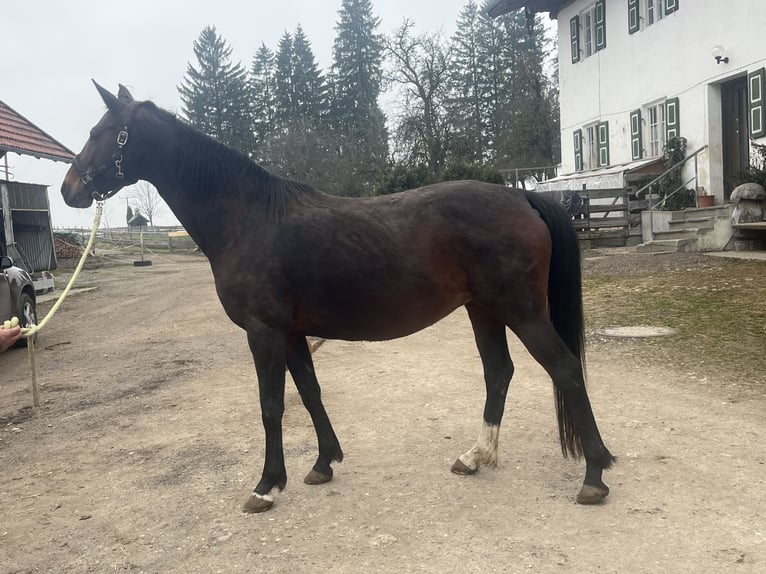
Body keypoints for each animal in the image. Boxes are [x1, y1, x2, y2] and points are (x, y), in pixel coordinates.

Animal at [61, 83, 616, 516]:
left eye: (100, 132)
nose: (68, 189)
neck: (248, 219)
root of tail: (522, 195)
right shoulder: (291, 333)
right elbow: (310, 393)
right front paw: (323, 464)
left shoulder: (264, 333)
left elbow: (271, 406)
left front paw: (266, 486)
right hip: (483, 311)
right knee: (499, 373)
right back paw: (475, 457)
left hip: (523, 312)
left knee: (565, 370)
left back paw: (594, 475)